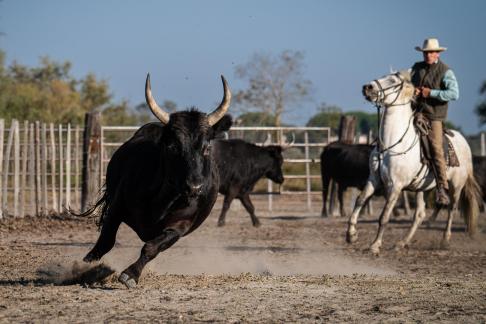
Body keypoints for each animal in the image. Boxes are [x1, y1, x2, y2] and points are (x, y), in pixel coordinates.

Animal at [81, 74, 234, 288]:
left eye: (207, 147)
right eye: (172, 146)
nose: (194, 187)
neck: (162, 199)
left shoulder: (180, 226)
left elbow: (151, 248)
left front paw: (131, 274)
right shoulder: (117, 205)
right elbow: (107, 239)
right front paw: (88, 264)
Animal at [348, 70, 480, 253]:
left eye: (393, 80)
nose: (368, 87)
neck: (391, 144)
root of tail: (463, 141)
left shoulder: (395, 186)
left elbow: (384, 216)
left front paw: (375, 245)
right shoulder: (374, 179)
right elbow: (360, 200)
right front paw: (351, 235)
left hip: (456, 186)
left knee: (452, 209)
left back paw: (445, 240)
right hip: (421, 189)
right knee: (419, 215)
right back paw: (402, 243)